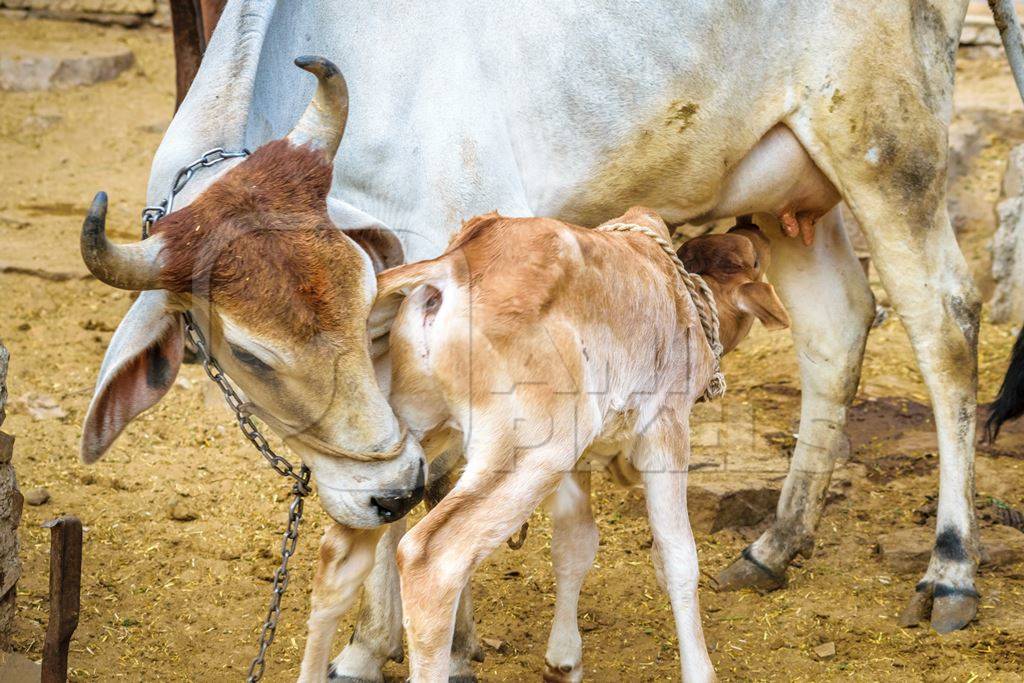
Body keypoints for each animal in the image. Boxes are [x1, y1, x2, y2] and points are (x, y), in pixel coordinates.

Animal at [81, 2, 1024, 679]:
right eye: (247, 353)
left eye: (356, 292)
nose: (385, 486)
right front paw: (369, 643)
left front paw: (437, 642)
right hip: (789, 181)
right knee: (837, 329)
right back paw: (773, 545)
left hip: (884, 147)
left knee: (944, 323)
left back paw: (950, 568)